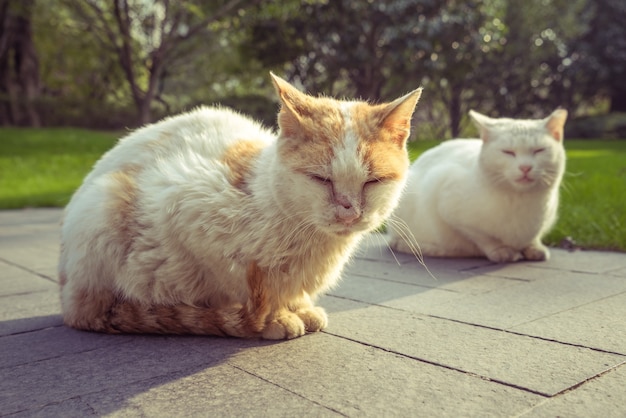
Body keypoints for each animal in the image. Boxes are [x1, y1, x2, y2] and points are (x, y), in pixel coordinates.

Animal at [59, 72, 420, 340]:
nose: (349, 211)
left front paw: (300, 308)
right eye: (321, 179)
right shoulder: (182, 209)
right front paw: (274, 318)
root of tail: (67, 298)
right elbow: (239, 289)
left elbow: (290, 293)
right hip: (104, 205)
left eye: (372, 181)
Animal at [386, 109, 564, 262]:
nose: (525, 167)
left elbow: (534, 237)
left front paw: (534, 248)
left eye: (539, 150)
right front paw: (501, 250)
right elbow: (484, 238)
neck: (521, 202)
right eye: (508, 152)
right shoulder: (448, 205)